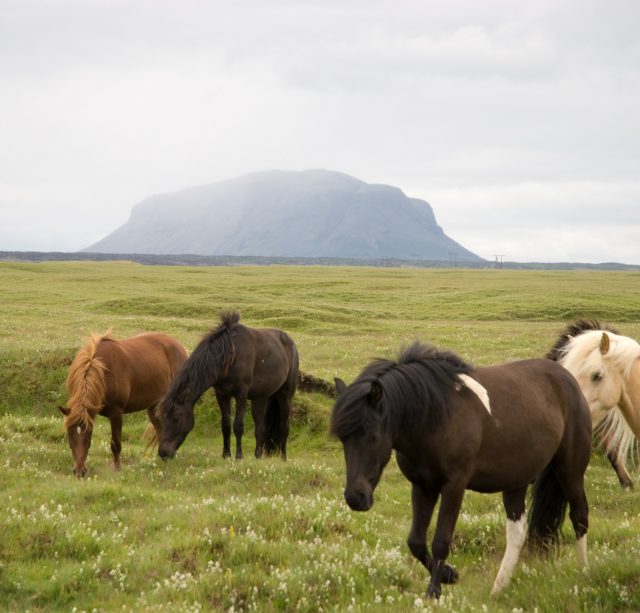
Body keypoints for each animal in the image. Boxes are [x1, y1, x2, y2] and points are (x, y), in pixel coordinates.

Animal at [56, 332, 188, 476]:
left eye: (89, 433)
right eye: (70, 433)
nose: (79, 471)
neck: (103, 370)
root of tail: (180, 347)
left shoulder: (116, 412)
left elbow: (116, 443)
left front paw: (117, 468)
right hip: (154, 406)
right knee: (160, 430)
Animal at [159, 310, 302, 460]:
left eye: (176, 419)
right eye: (160, 419)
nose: (163, 453)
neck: (229, 355)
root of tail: (291, 342)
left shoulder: (241, 393)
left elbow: (238, 425)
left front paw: (239, 456)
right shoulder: (222, 394)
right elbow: (226, 425)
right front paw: (226, 454)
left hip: (285, 395)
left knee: (284, 427)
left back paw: (283, 457)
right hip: (261, 398)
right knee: (260, 428)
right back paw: (257, 456)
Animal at [332, 342, 592, 600]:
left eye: (373, 435)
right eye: (343, 439)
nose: (356, 498)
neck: (435, 417)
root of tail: (566, 377)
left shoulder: (454, 486)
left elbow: (441, 541)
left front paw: (434, 592)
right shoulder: (422, 486)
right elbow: (416, 541)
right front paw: (449, 575)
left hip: (570, 470)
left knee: (579, 516)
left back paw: (583, 574)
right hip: (516, 481)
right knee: (517, 532)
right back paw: (499, 588)